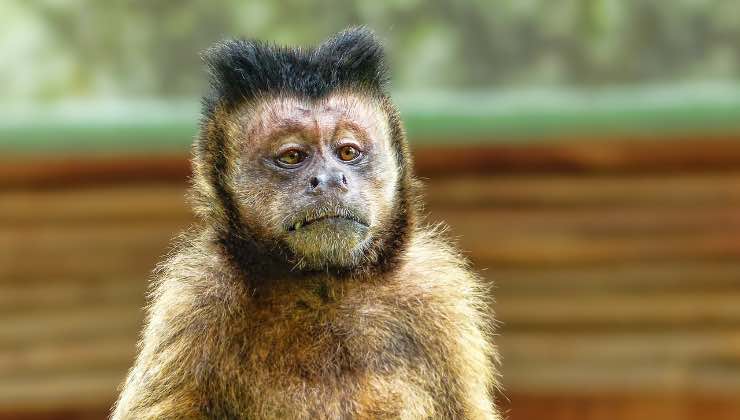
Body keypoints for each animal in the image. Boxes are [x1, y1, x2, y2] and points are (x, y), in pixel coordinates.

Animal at [111, 27, 501, 420]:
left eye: (348, 152)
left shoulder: (437, 298)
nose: (329, 180)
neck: (324, 286)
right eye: (292, 157)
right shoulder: (194, 304)